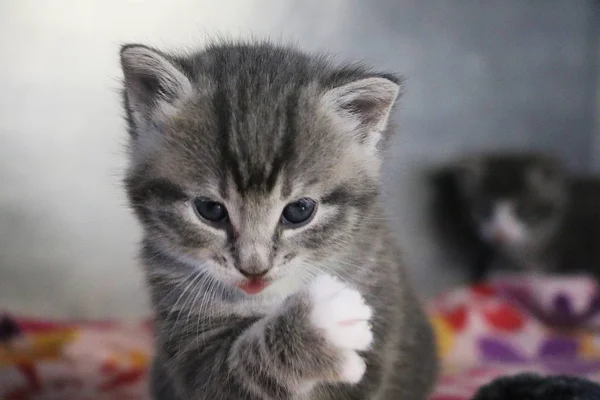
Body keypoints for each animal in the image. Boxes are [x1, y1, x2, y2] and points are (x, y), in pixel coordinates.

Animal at [119, 40, 436, 400]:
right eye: (210, 210)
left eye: (299, 211)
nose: (254, 269)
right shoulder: (189, 343)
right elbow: (234, 374)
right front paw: (315, 328)